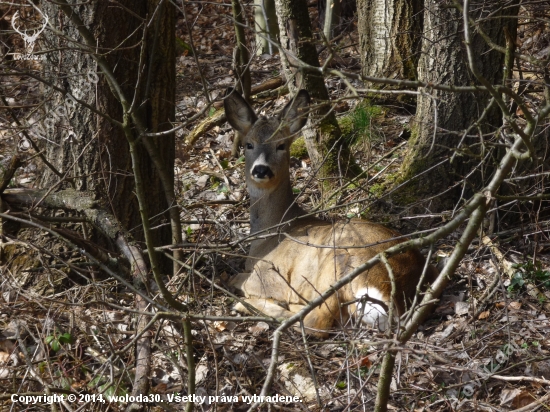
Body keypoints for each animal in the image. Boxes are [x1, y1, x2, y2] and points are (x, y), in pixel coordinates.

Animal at [224, 88, 440, 336]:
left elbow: (236, 279)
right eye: (249, 144)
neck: (270, 232)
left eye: (281, 145)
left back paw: (253, 306)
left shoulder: (266, 275)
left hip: (336, 262)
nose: (261, 169)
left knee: (316, 320)